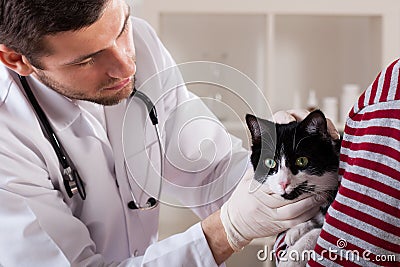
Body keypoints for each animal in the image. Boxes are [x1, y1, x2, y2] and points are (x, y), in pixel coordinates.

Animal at [244, 110, 340, 266]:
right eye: (269, 162)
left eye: (302, 160)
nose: (283, 183)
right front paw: (298, 229)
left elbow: (322, 234)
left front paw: (292, 257)